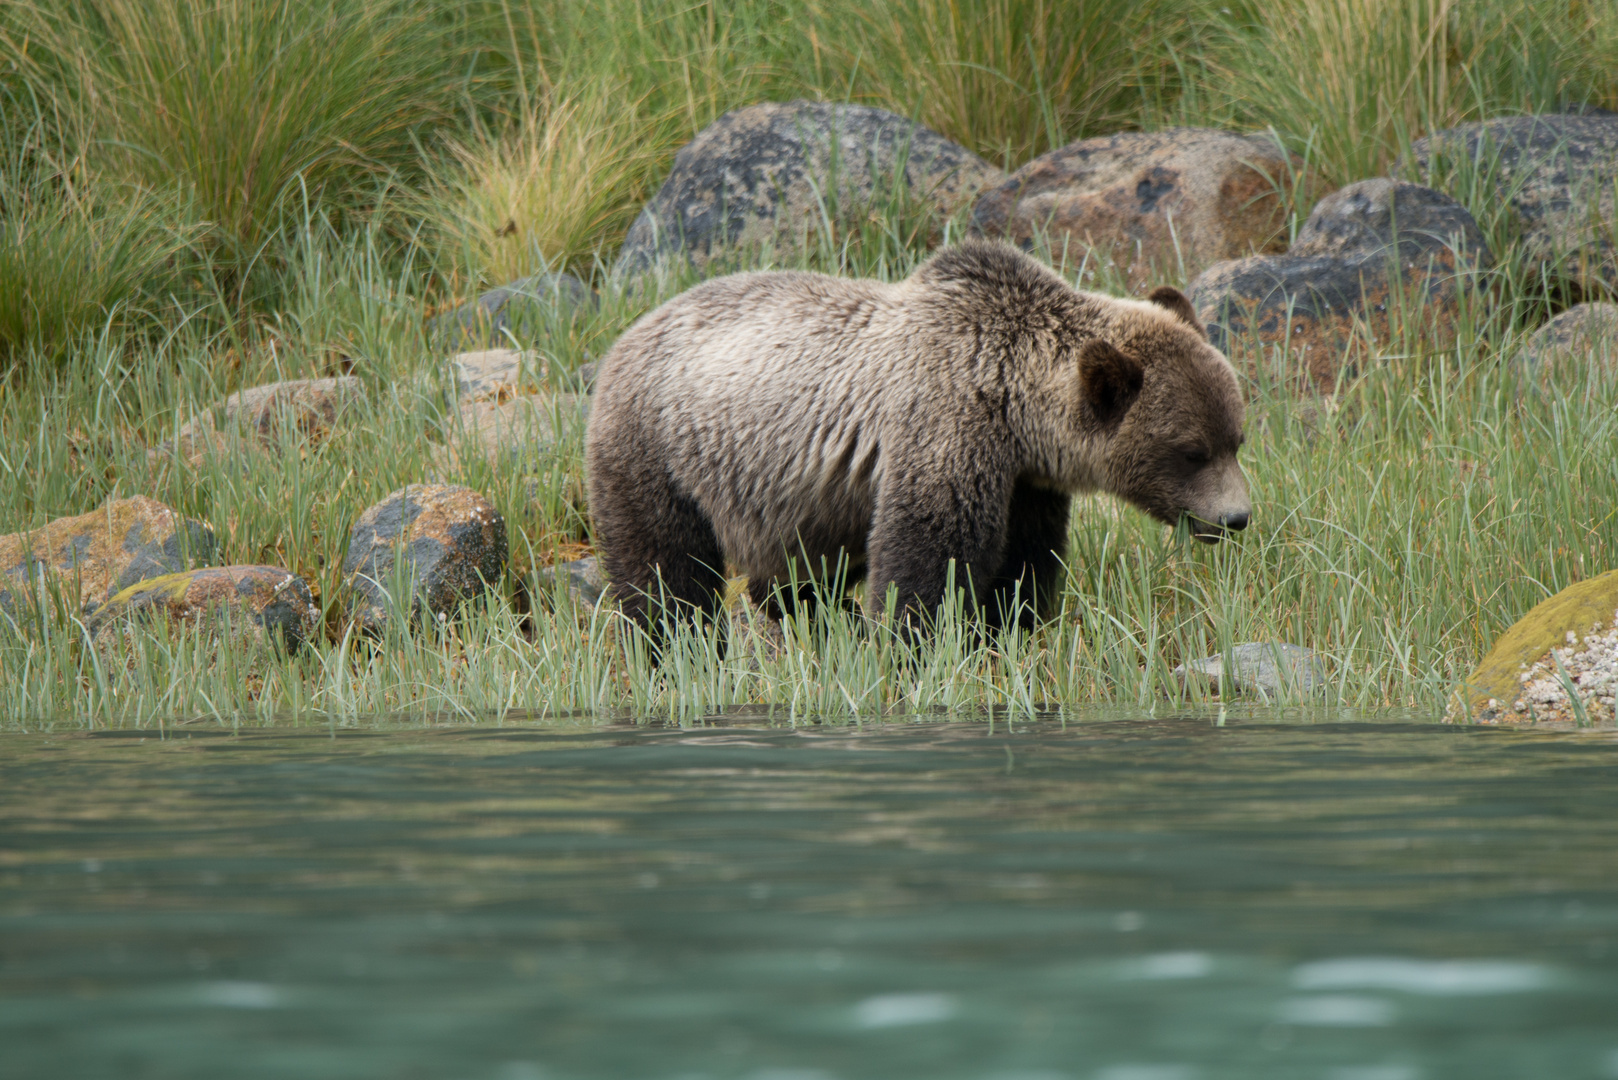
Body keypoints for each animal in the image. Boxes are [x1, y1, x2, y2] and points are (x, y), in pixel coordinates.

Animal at [585, 241, 1249, 637]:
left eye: (1237, 437)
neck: (1014, 407)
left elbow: (1024, 560)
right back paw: (675, 642)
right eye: (1192, 450)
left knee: (795, 577)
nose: (1236, 517)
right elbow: (931, 554)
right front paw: (913, 639)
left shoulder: (1025, 480)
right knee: (666, 573)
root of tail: (624, 336)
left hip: (790, 503)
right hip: (659, 450)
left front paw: (1011, 626)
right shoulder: (945, 425)